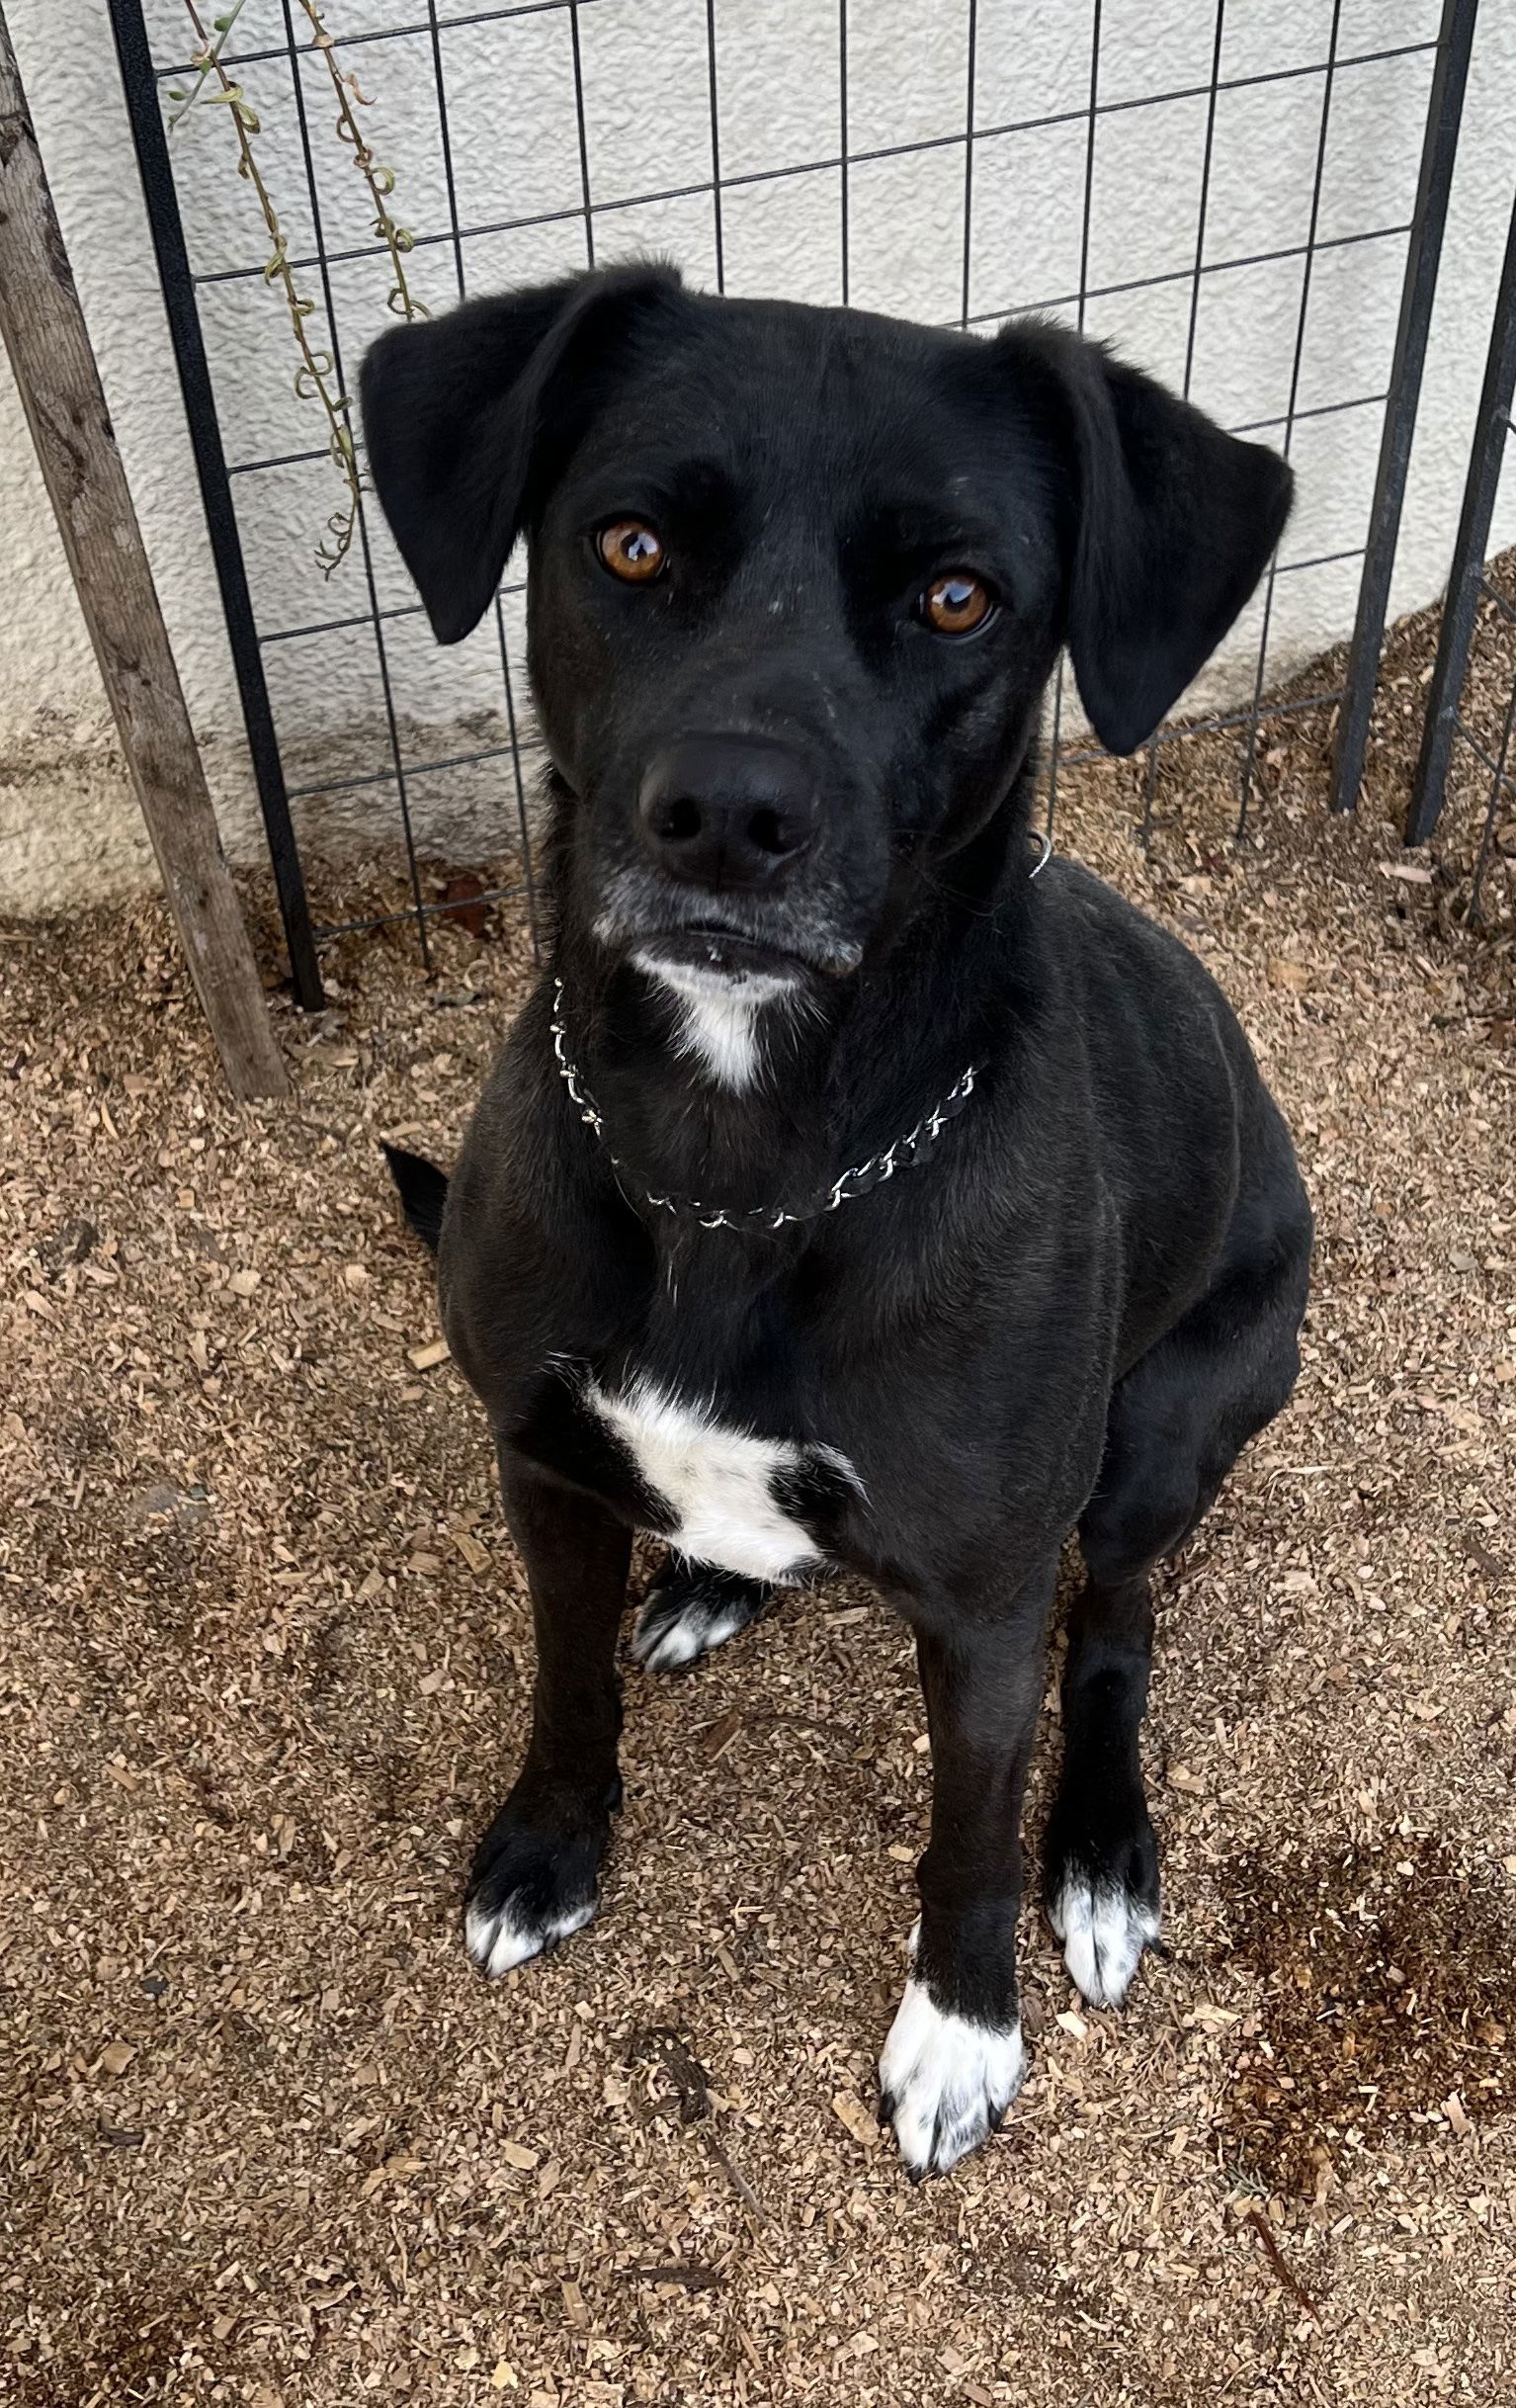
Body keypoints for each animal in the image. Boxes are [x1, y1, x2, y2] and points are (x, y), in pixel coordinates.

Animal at [363, 268, 1308, 2186]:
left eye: (956, 598)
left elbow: (966, 1829)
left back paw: (1101, 1859)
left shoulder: (987, 1601)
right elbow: (563, 1684)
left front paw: (959, 2028)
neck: (738, 1166)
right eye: (631, 544)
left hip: (1171, 1425)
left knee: (1119, 1636)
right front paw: (549, 1846)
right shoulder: (540, 1464)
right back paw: (718, 1577)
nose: (729, 818)